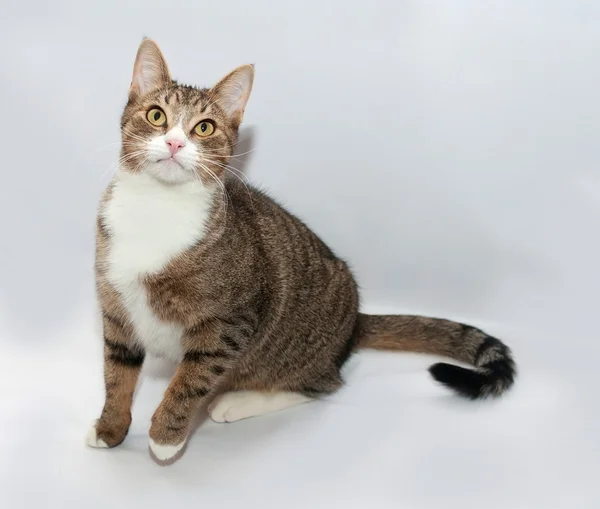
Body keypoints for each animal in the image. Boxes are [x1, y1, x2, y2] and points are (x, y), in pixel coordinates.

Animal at [88, 38, 516, 460]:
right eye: (156, 116)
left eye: (204, 128)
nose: (175, 142)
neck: (157, 206)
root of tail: (354, 322)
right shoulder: (116, 309)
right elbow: (116, 372)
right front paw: (111, 428)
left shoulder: (228, 324)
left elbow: (191, 380)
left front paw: (165, 436)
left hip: (293, 348)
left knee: (321, 383)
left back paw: (240, 400)